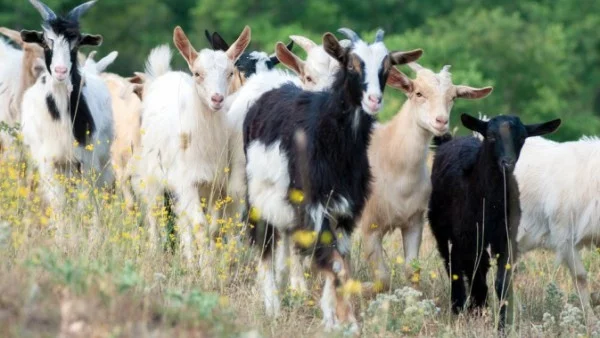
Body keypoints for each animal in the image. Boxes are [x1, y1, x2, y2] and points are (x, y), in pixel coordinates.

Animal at [19, 0, 113, 217]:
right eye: (46, 42)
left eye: (76, 44)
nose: (61, 71)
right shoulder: (49, 163)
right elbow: (59, 206)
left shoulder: (85, 161)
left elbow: (85, 204)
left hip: (101, 161)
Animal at [132, 25, 250, 266]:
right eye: (197, 74)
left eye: (230, 73)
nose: (217, 99)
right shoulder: (187, 182)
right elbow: (200, 225)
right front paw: (206, 270)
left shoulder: (219, 186)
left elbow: (215, 228)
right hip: (153, 174)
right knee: (155, 212)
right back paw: (157, 253)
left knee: (181, 217)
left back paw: (187, 257)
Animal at [243, 27, 422, 328]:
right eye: (351, 64)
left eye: (386, 68)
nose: (374, 100)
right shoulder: (316, 206)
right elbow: (335, 263)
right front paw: (344, 320)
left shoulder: (347, 209)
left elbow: (342, 262)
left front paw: (338, 317)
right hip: (259, 196)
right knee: (265, 245)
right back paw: (272, 306)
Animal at [358, 62, 494, 294]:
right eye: (418, 93)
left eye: (453, 97)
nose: (441, 121)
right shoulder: (370, 225)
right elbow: (382, 278)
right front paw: (361, 288)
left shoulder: (414, 222)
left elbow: (412, 270)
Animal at [428, 113, 560, 328]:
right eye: (490, 136)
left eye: (522, 138)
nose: (507, 163)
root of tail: (450, 141)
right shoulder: (470, 238)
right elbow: (477, 277)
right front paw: (478, 311)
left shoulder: (506, 237)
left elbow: (502, 282)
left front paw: (503, 324)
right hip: (444, 230)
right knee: (452, 264)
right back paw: (459, 306)